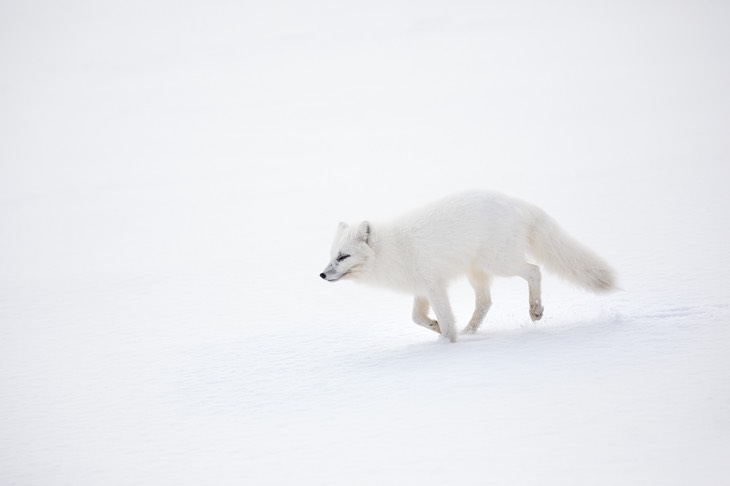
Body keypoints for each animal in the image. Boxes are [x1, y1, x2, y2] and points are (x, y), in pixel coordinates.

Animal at [318, 190, 616, 342]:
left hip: (499, 262)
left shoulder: (435, 286)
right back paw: (470, 331)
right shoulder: (422, 288)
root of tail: (517, 202)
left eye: (344, 257)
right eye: (332, 255)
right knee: (485, 302)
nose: (321, 274)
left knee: (534, 270)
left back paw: (535, 310)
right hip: (478, 272)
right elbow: (417, 318)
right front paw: (437, 329)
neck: (393, 249)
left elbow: (445, 321)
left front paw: (450, 345)